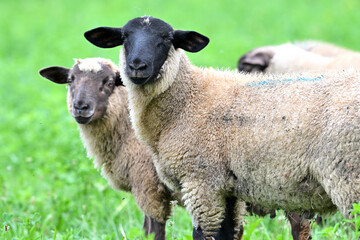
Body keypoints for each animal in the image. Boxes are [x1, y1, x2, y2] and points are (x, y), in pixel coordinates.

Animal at [83, 16, 360, 240]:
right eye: (124, 37)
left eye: (167, 39)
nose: (137, 66)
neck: (187, 99)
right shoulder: (226, 189)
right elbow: (226, 233)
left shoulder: (201, 181)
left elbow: (203, 234)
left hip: (349, 179)